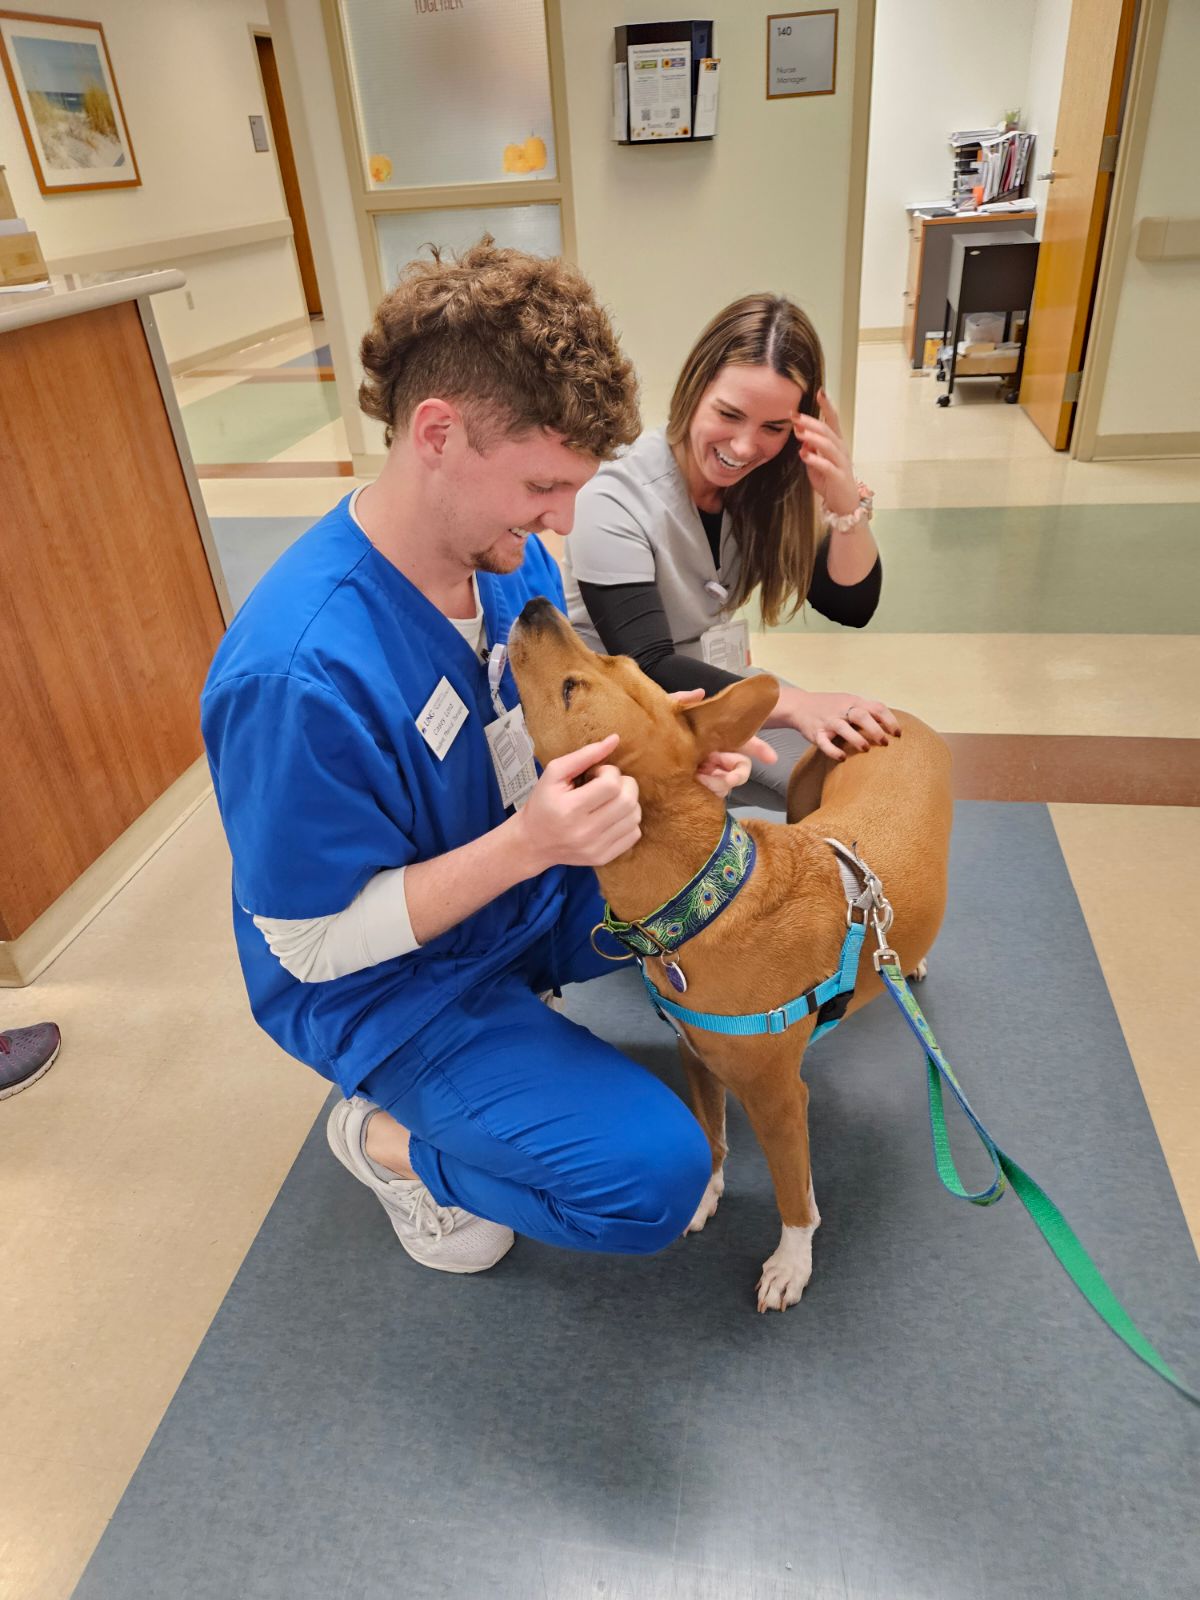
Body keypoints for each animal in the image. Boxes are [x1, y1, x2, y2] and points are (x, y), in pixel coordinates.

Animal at [508, 601, 960, 1312]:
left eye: (571, 690)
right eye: (615, 659)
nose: (533, 607)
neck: (699, 901)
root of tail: (896, 714)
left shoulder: (778, 1099)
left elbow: (794, 1193)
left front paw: (792, 1262)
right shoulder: (696, 1057)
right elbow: (713, 1139)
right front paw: (706, 1197)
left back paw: (906, 965)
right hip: (805, 794)